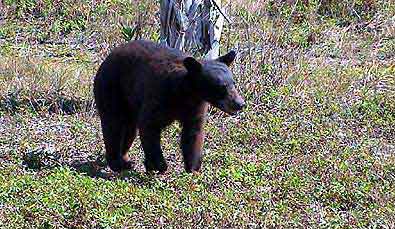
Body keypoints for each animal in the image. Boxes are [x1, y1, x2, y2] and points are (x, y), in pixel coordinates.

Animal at [94, 40, 246, 173]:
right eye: (221, 87)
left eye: (233, 83)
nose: (240, 104)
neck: (185, 93)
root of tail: (107, 58)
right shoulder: (159, 96)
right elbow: (149, 126)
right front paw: (159, 165)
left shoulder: (196, 107)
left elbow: (194, 133)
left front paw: (192, 169)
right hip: (112, 89)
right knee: (113, 125)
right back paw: (116, 163)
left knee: (129, 130)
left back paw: (125, 160)